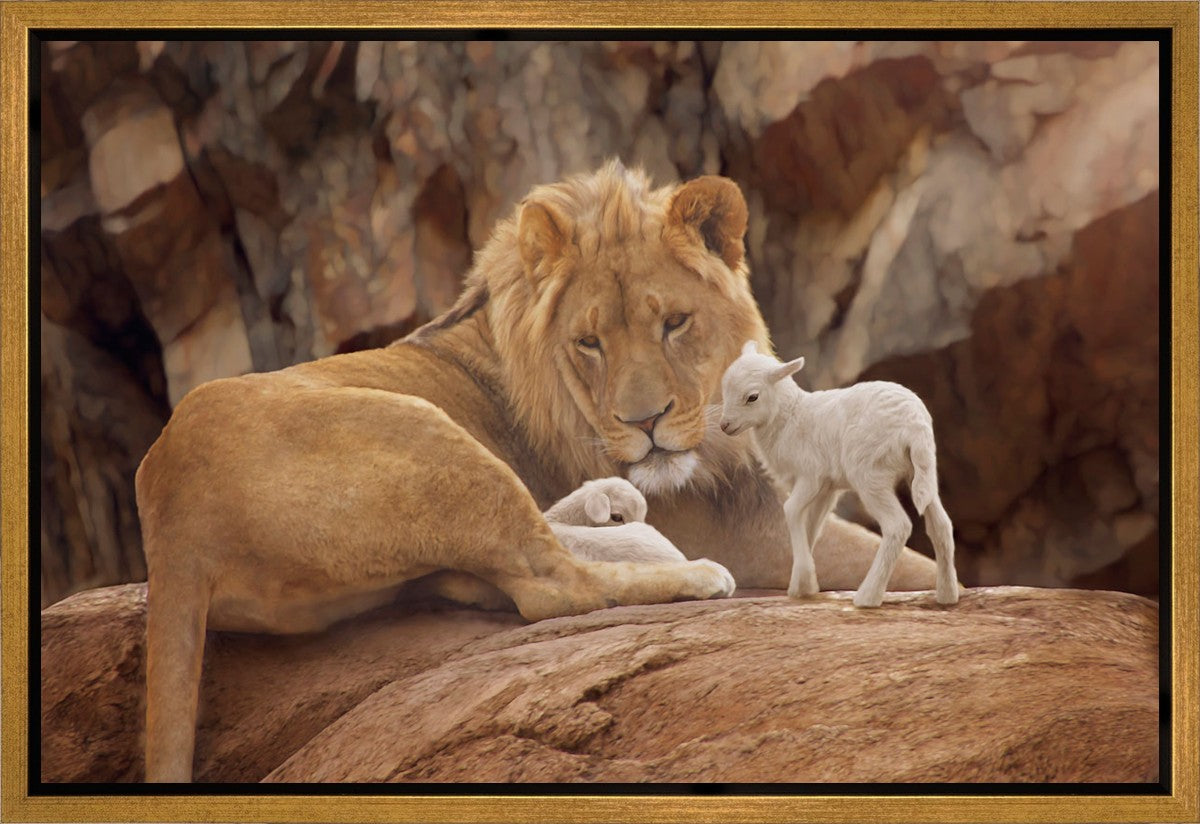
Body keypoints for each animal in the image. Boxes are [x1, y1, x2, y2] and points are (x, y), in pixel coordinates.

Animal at [718, 341, 958, 608]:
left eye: (752, 397)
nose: (724, 425)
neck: (790, 417)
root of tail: (915, 425)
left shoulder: (811, 476)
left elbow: (791, 510)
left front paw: (804, 581)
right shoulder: (827, 488)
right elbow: (811, 525)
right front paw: (802, 585)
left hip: (870, 474)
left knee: (898, 526)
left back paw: (867, 596)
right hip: (922, 471)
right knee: (941, 525)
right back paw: (947, 595)